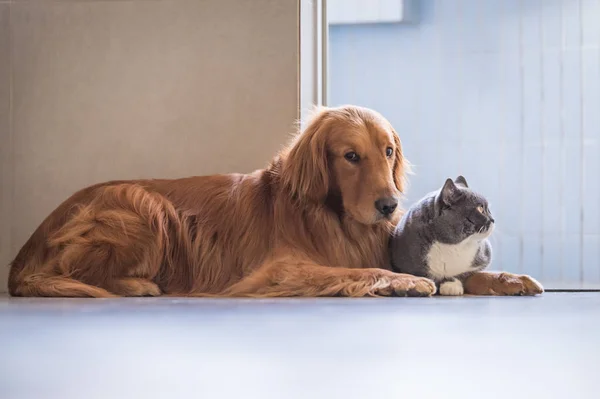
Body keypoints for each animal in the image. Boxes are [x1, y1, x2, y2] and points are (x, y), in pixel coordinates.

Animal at [7, 106, 540, 296]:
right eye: (350, 156)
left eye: (388, 151)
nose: (390, 206)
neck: (333, 220)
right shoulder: (280, 269)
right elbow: (358, 271)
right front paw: (401, 283)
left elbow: (467, 273)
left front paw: (508, 278)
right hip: (145, 206)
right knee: (79, 273)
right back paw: (139, 286)